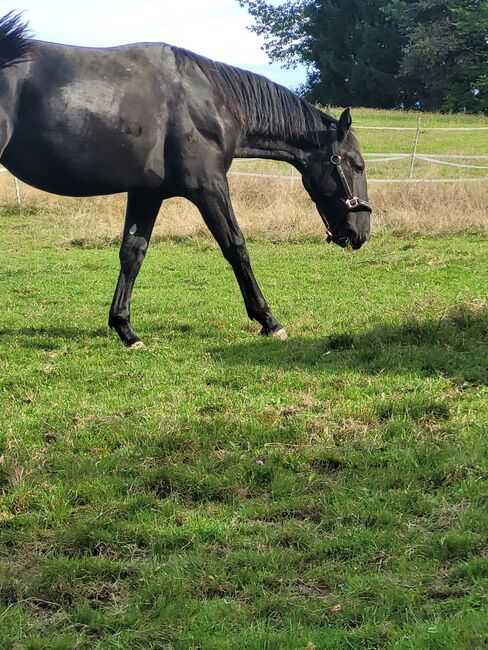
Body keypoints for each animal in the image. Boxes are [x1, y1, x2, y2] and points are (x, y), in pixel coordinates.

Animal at [0, 11, 370, 344]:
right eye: (357, 165)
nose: (361, 232)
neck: (211, 102)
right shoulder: (210, 188)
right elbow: (236, 246)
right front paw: (269, 320)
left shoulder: (146, 193)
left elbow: (133, 253)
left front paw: (125, 328)